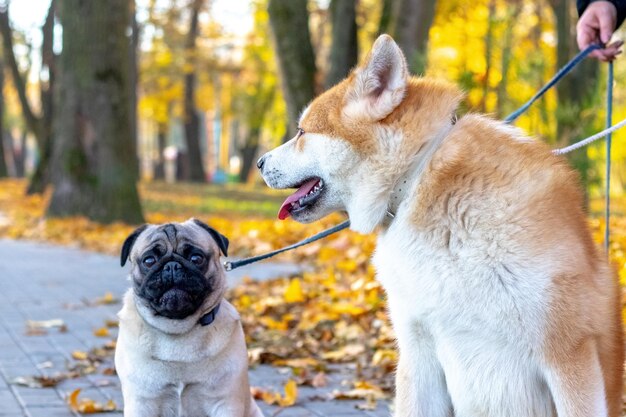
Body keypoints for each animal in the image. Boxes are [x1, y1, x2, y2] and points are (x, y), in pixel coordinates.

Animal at [115, 218, 264, 416]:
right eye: (149, 260)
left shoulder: (225, 402)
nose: (171, 266)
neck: (178, 329)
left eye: (196, 258)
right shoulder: (141, 403)